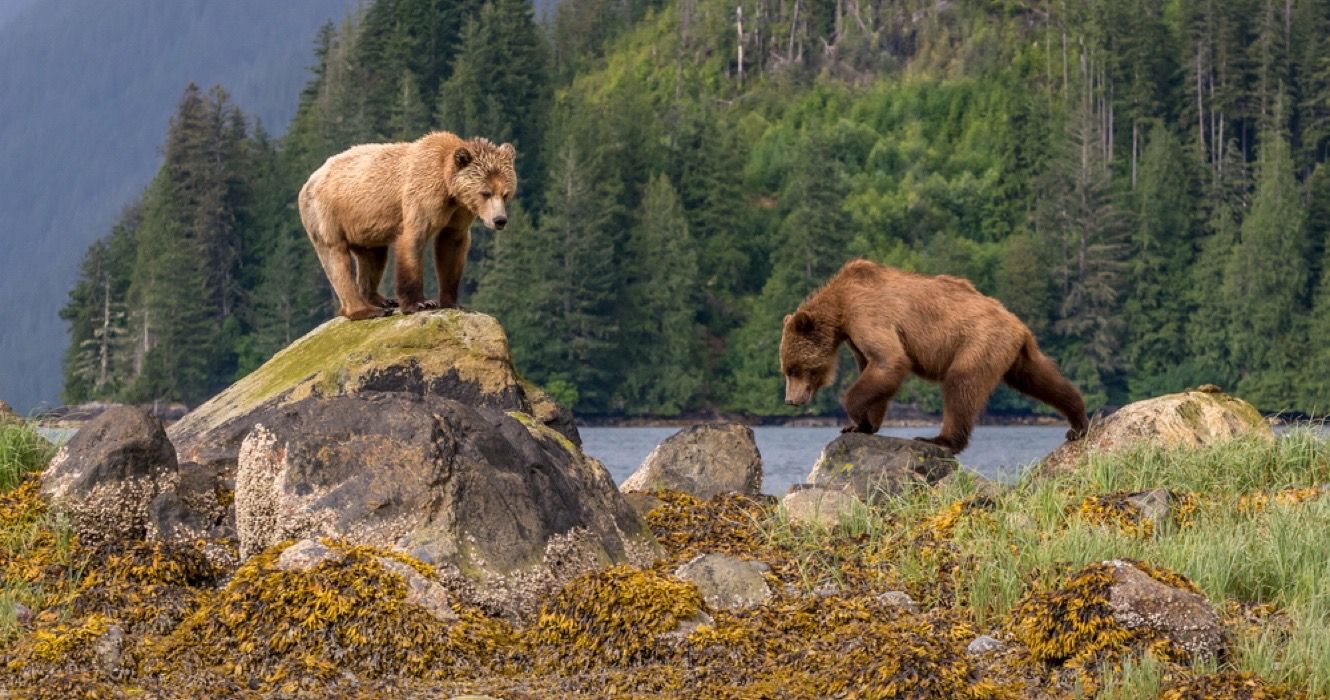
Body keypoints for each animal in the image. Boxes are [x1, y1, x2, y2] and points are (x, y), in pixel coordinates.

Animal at [299, 131, 516, 320]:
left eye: (505, 193)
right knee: (337, 259)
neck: (449, 189)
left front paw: (453, 302)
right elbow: (413, 240)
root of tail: (310, 179)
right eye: (485, 193)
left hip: (365, 227)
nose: (499, 220)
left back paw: (382, 300)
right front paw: (420, 303)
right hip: (329, 214)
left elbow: (451, 246)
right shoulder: (422, 196)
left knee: (374, 257)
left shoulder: (459, 213)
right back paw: (365, 310)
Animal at [782, 259, 1085, 455]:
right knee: (1040, 379)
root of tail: (1018, 324)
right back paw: (1078, 421)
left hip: (977, 341)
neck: (840, 307)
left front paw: (855, 416)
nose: (790, 400)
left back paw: (940, 439)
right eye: (786, 369)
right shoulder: (854, 337)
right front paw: (861, 426)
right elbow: (875, 369)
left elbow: (890, 360)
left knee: (961, 385)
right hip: (1013, 352)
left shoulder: (866, 315)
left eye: (794, 369)